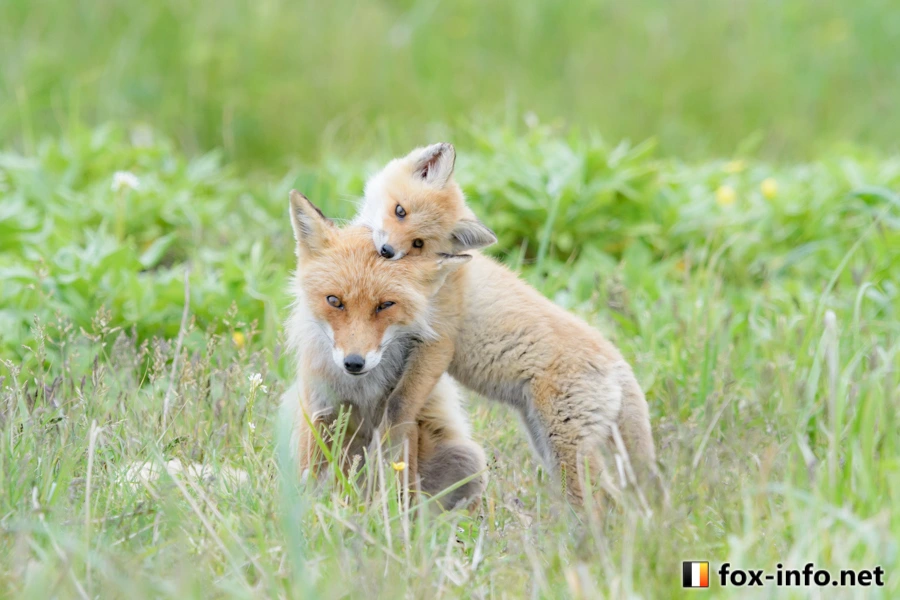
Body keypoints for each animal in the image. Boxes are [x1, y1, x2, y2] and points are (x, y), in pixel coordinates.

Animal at [283, 190, 486, 510]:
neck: (361, 391)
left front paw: (390, 516)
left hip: (467, 459)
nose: (354, 362)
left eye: (385, 305)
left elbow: (397, 482)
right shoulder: (318, 410)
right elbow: (310, 473)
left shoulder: (402, 419)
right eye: (334, 301)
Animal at [355, 143, 657, 503]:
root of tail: (617, 360)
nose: (386, 251)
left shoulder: (439, 341)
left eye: (418, 243)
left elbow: (399, 407)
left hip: (565, 447)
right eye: (399, 211)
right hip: (545, 442)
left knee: (600, 500)